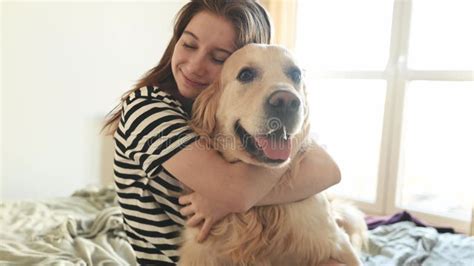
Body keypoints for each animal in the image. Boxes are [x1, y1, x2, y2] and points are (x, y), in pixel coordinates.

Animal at [178, 44, 366, 266]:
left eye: (296, 74)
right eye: (246, 74)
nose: (286, 101)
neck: (260, 212)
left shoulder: (337, 242)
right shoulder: (199, 253)